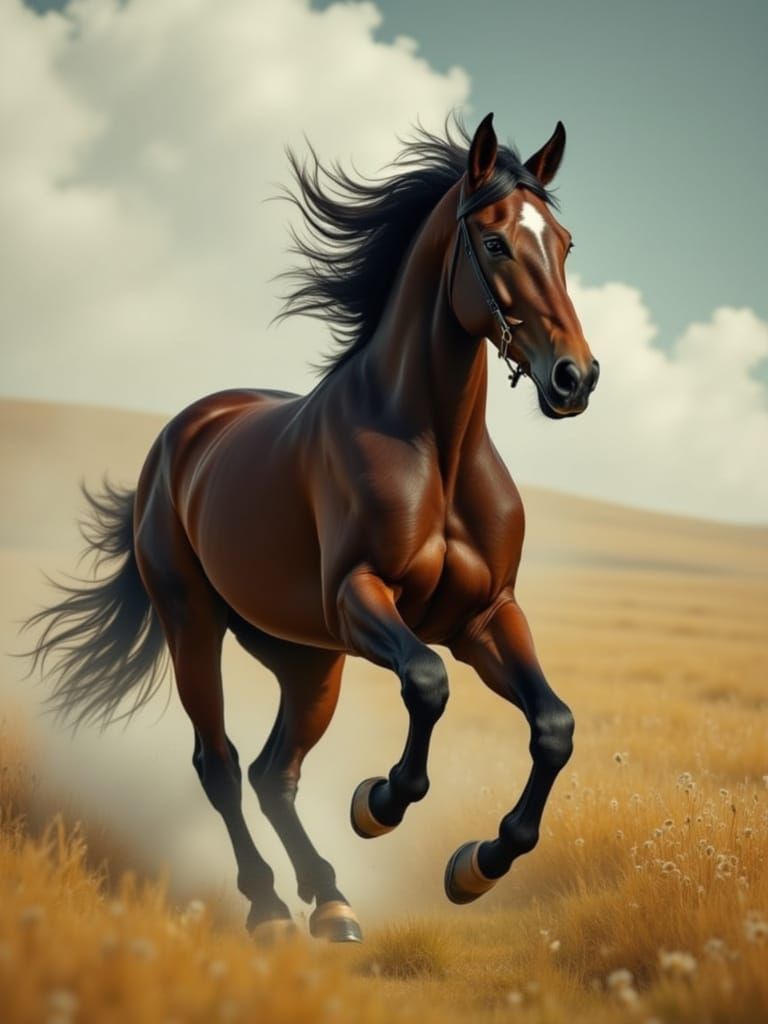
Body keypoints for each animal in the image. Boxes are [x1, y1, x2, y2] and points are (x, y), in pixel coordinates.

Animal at [24, 113, 599, 943]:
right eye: (494, 243)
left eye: (564, 243)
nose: (574, 379)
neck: (434, 447)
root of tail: (182, 434)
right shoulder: (361, 598)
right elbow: (428, 683)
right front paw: (378, 804)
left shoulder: (486, 616)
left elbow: (553, 725)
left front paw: (476, 866)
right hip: (196, 626)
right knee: (222, 765)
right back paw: (269, 907)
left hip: (306, 659)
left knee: (276, 773)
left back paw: (330, 901)